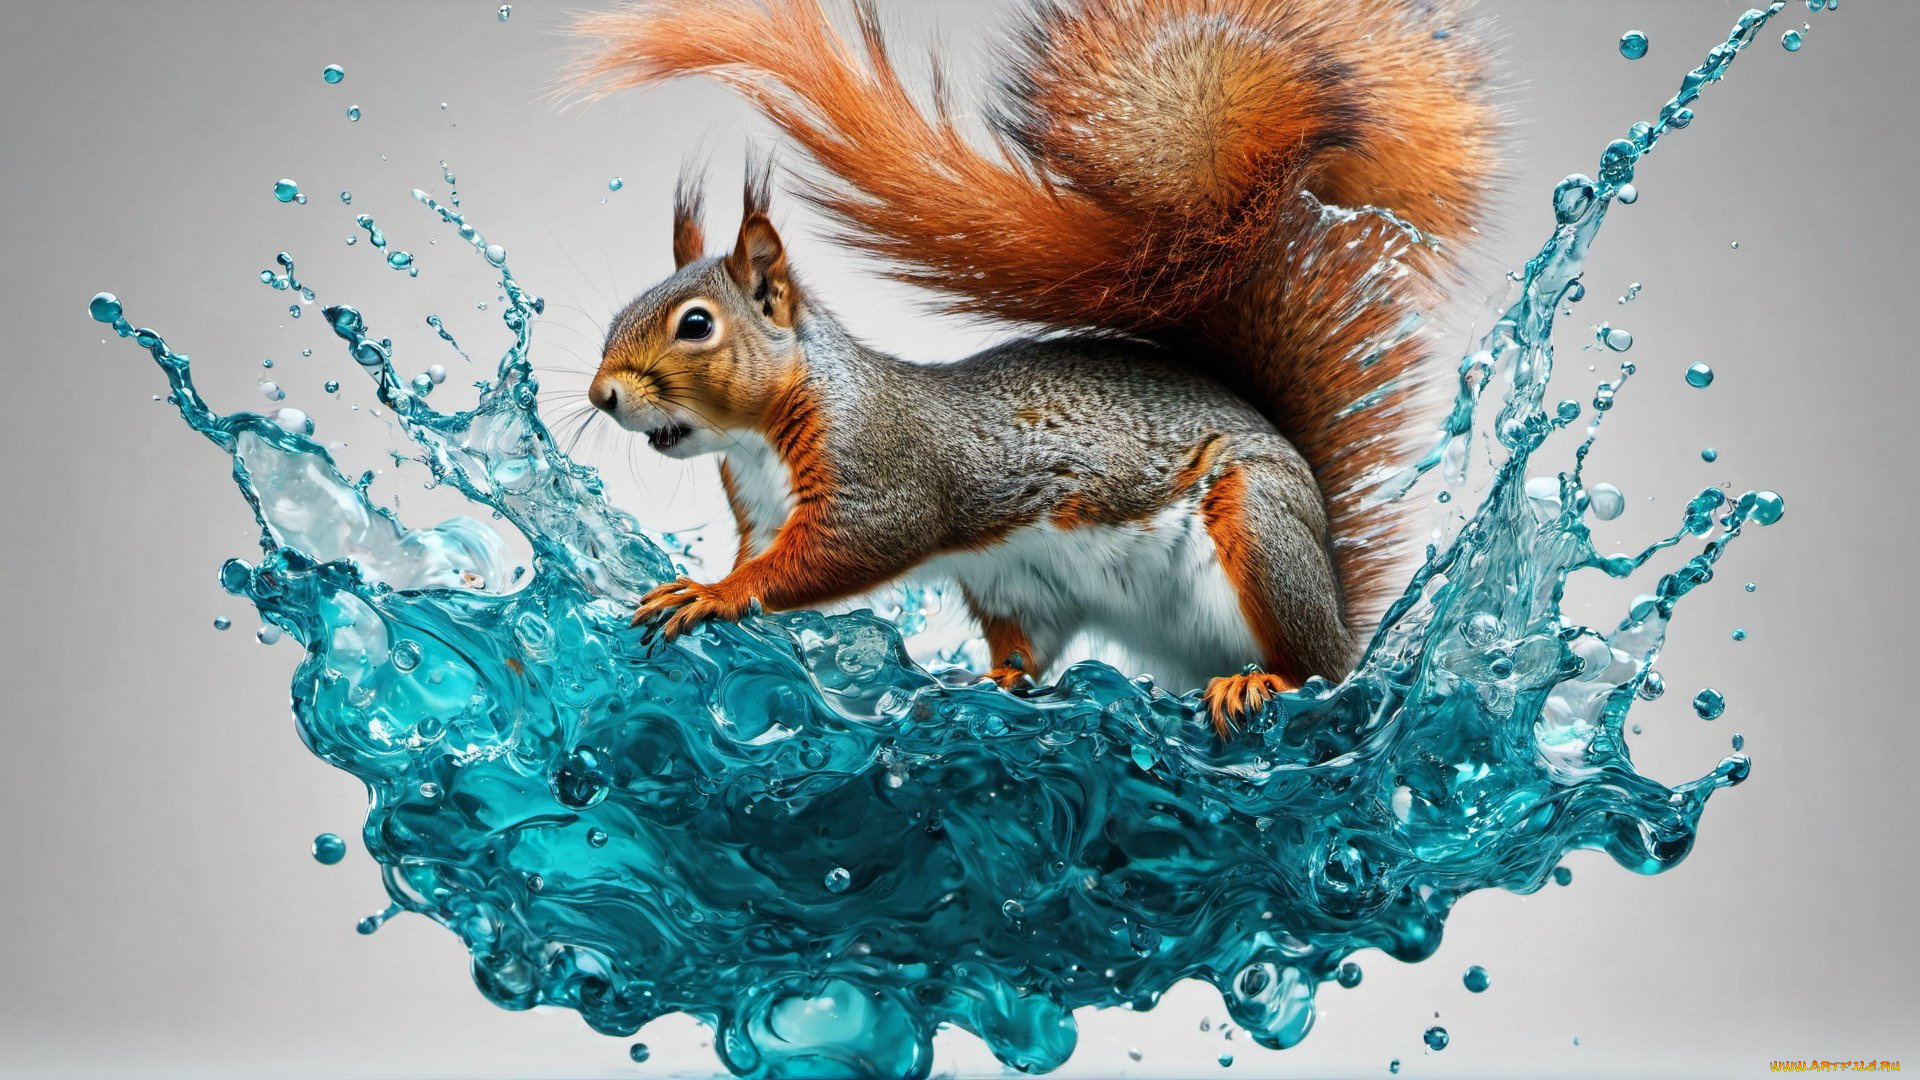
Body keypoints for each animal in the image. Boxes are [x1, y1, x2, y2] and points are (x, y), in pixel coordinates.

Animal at [570, 0, 1496, 734]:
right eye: (621, 315)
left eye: (696, 325)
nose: (600, 394)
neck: (761, 437)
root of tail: (1339, 610)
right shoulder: (766, 513)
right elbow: (767, 554)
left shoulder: (883, 477)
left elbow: (834, 554)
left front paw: (712, 594)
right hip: (1022, 587)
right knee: (1034, 649)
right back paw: (991, 682)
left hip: (1261, 536)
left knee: (1315, 675)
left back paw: (1261, 681)